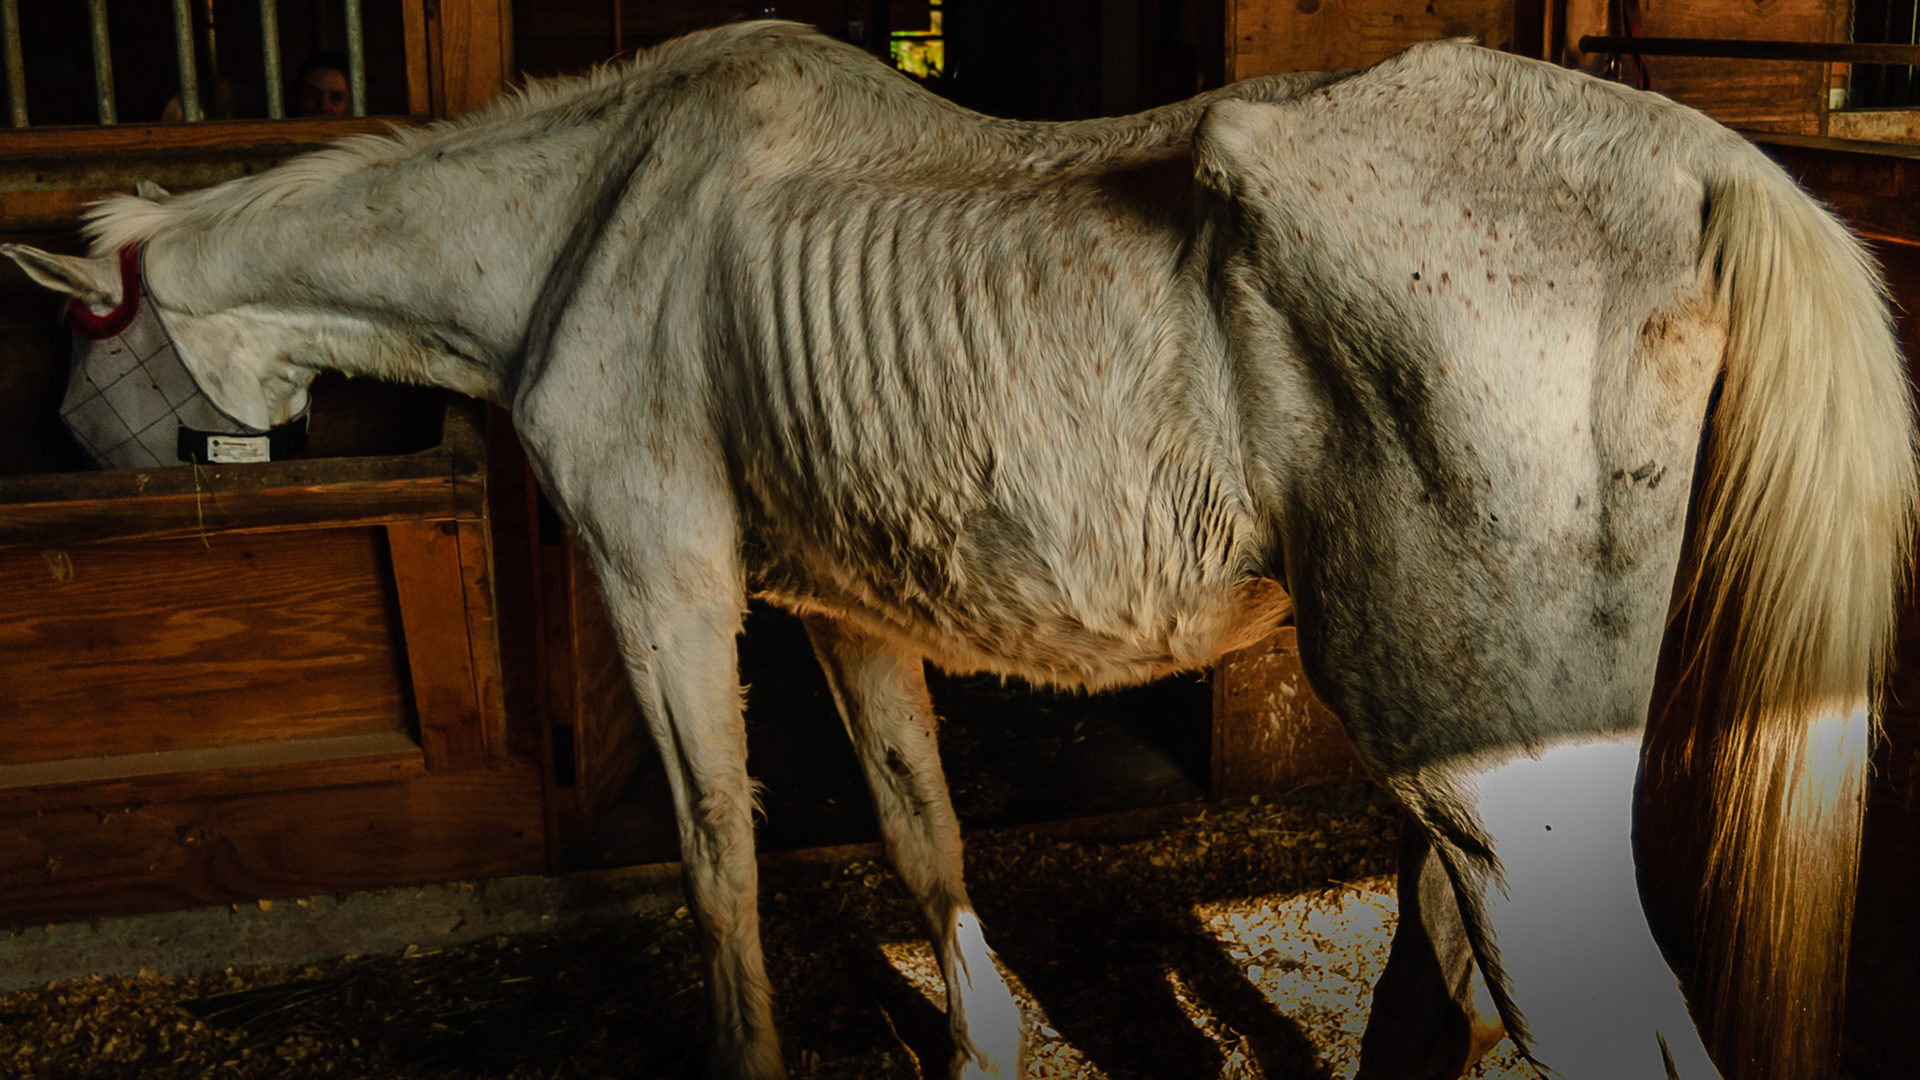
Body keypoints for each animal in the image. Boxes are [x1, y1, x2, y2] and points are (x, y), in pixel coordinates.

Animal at [6, 22, 1913, 1080]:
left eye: (77, 341)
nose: (75, 468)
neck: (589, 212)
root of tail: (1706, 171)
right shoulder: (842, 612)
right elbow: (922, 833)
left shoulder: (664, 583)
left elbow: (718, 860)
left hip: (1504, 780)